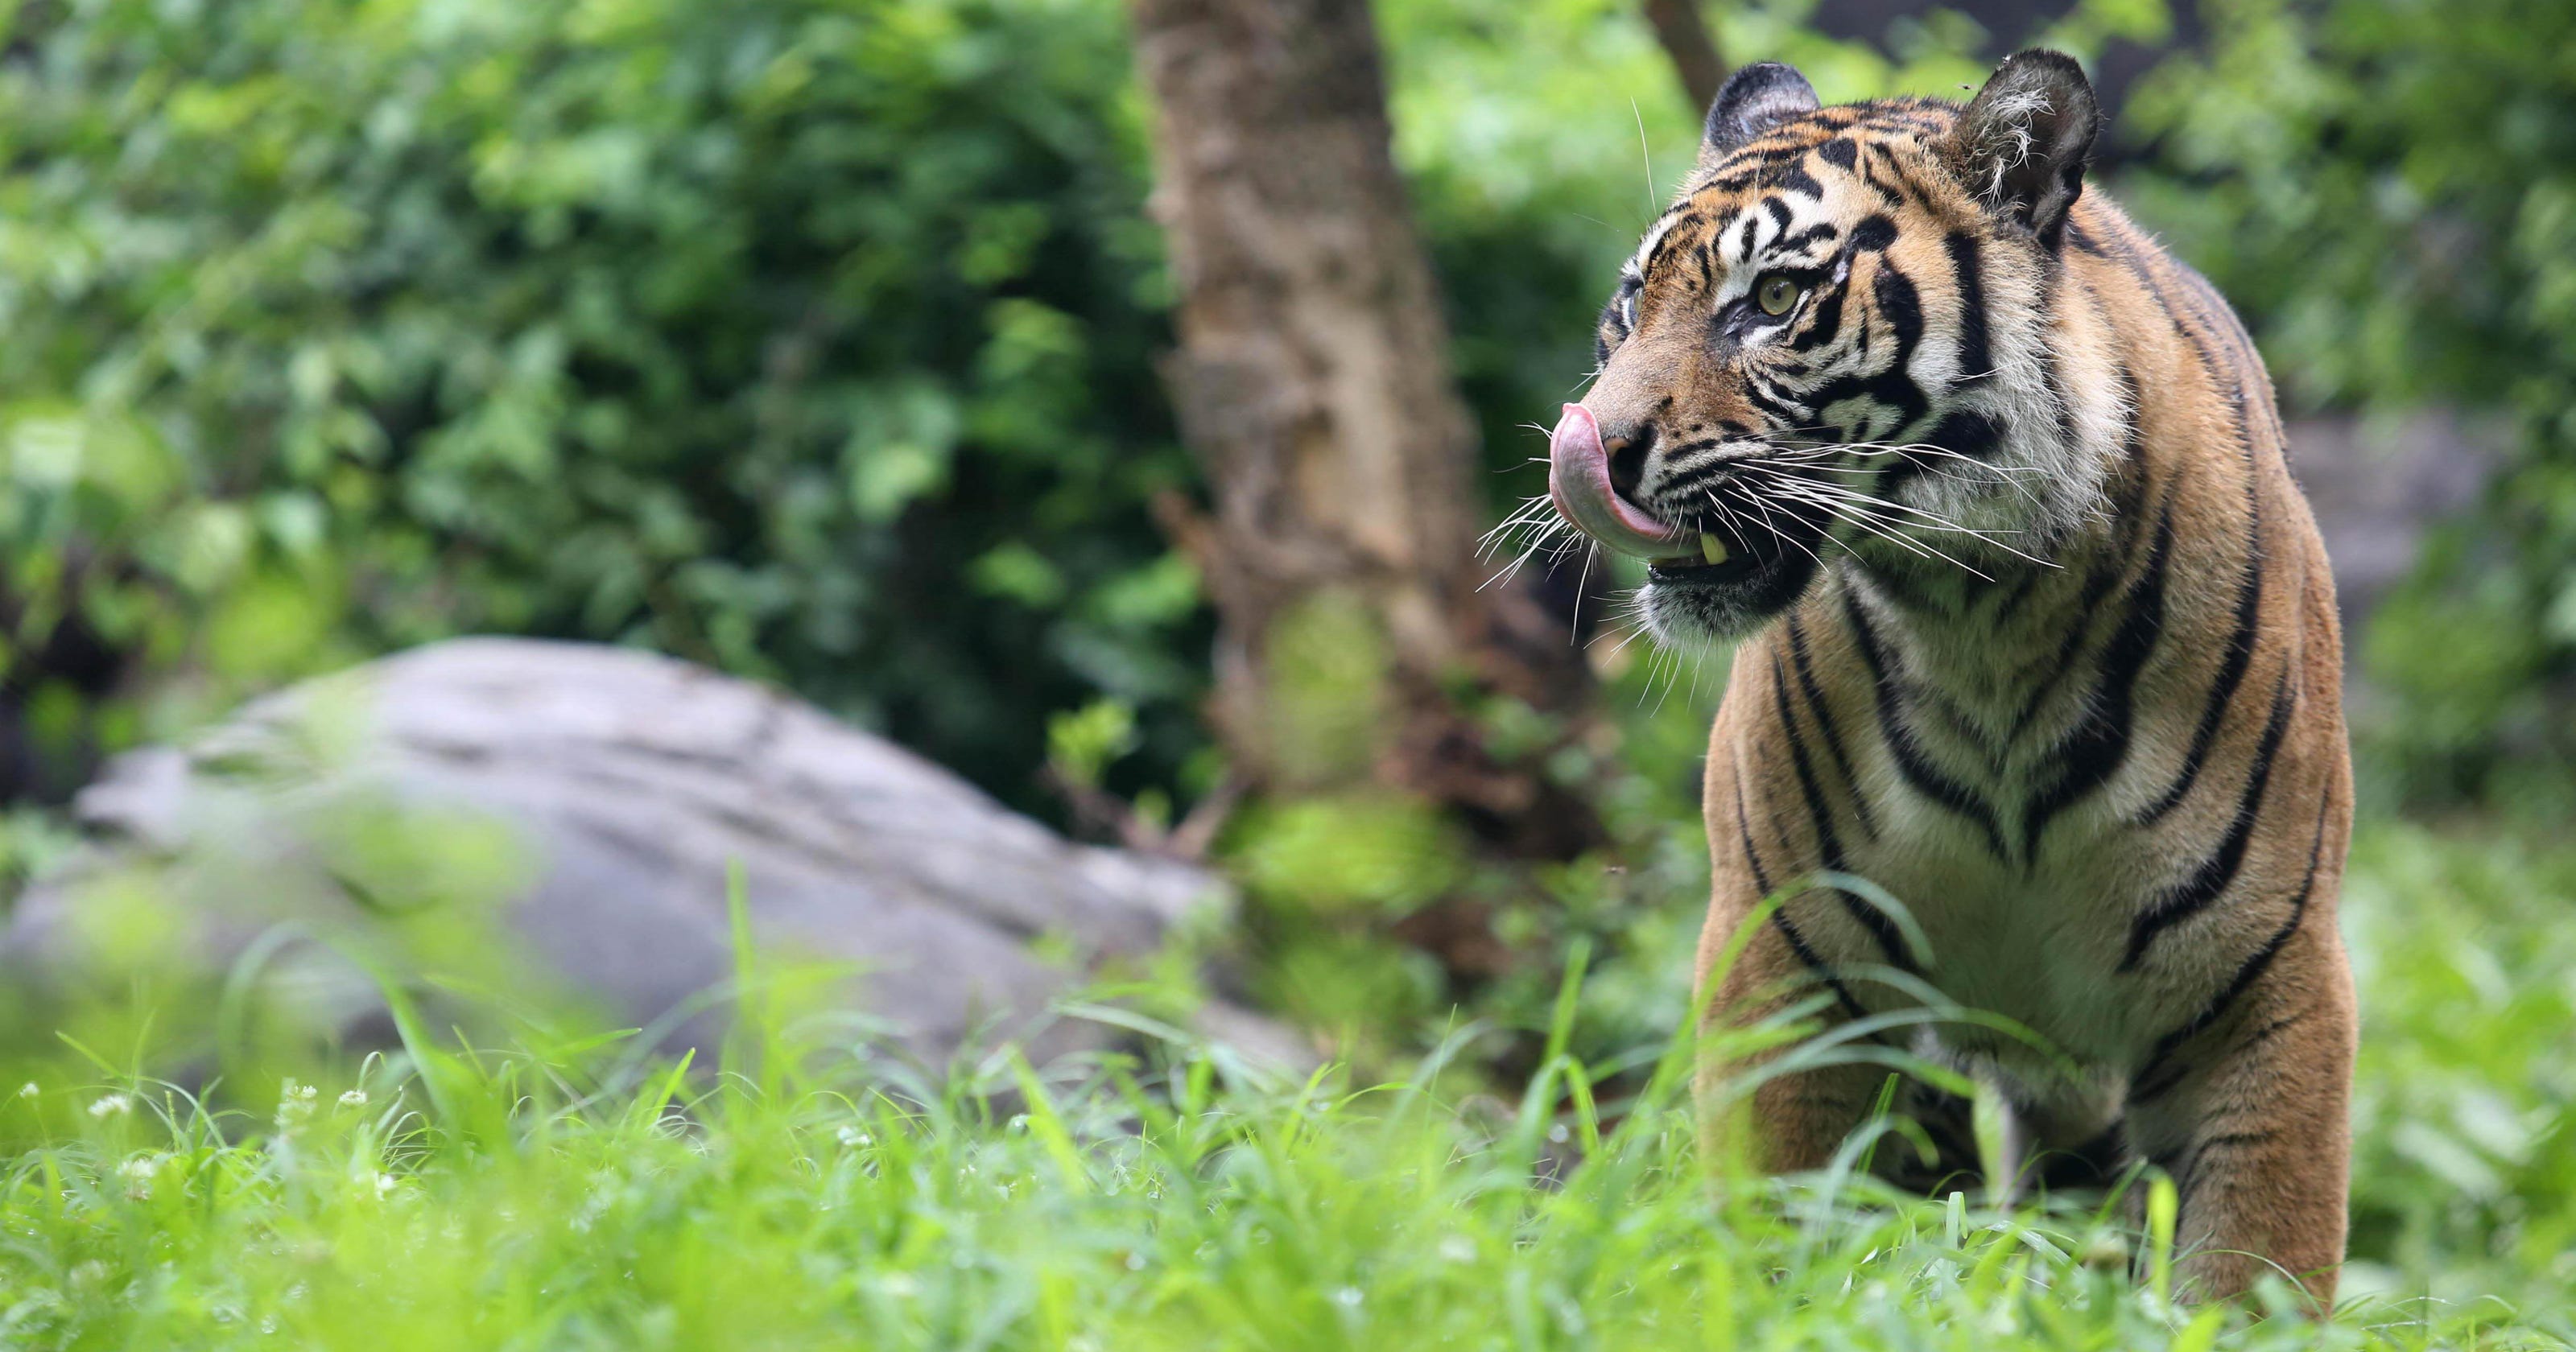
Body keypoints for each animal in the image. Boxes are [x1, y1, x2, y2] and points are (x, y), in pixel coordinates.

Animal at [1535, 47, 2359, 1303]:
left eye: (1771, 302)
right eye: (1631, 306)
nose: (1589, 447)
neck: (1985, 623)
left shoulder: (2268, 985)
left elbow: (2254, 1276)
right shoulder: (1791, 960)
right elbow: (1778, 1230)